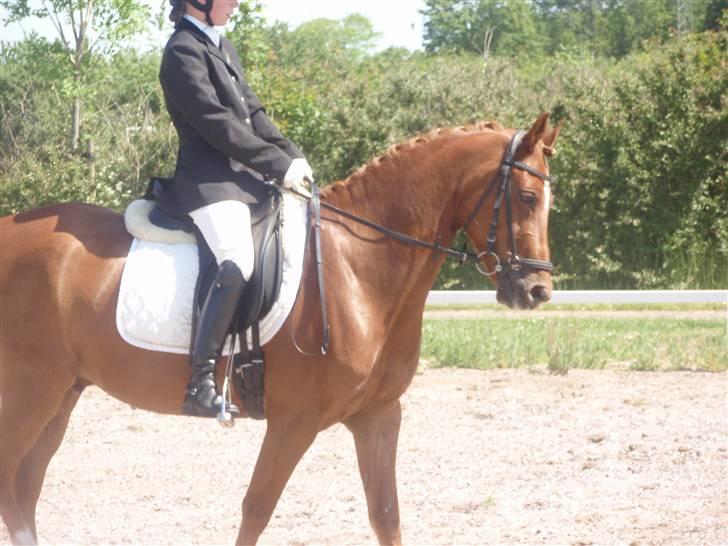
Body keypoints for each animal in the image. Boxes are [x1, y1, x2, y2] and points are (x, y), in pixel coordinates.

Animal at [0, 112, 560, 540]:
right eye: (527, 198)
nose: (537, 290)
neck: (358, 265)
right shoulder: (295, 421)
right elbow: (257, 508)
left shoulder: (379, 416)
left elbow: (386, 516)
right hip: (32, 392)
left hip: (63, 394)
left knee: (25, 489)